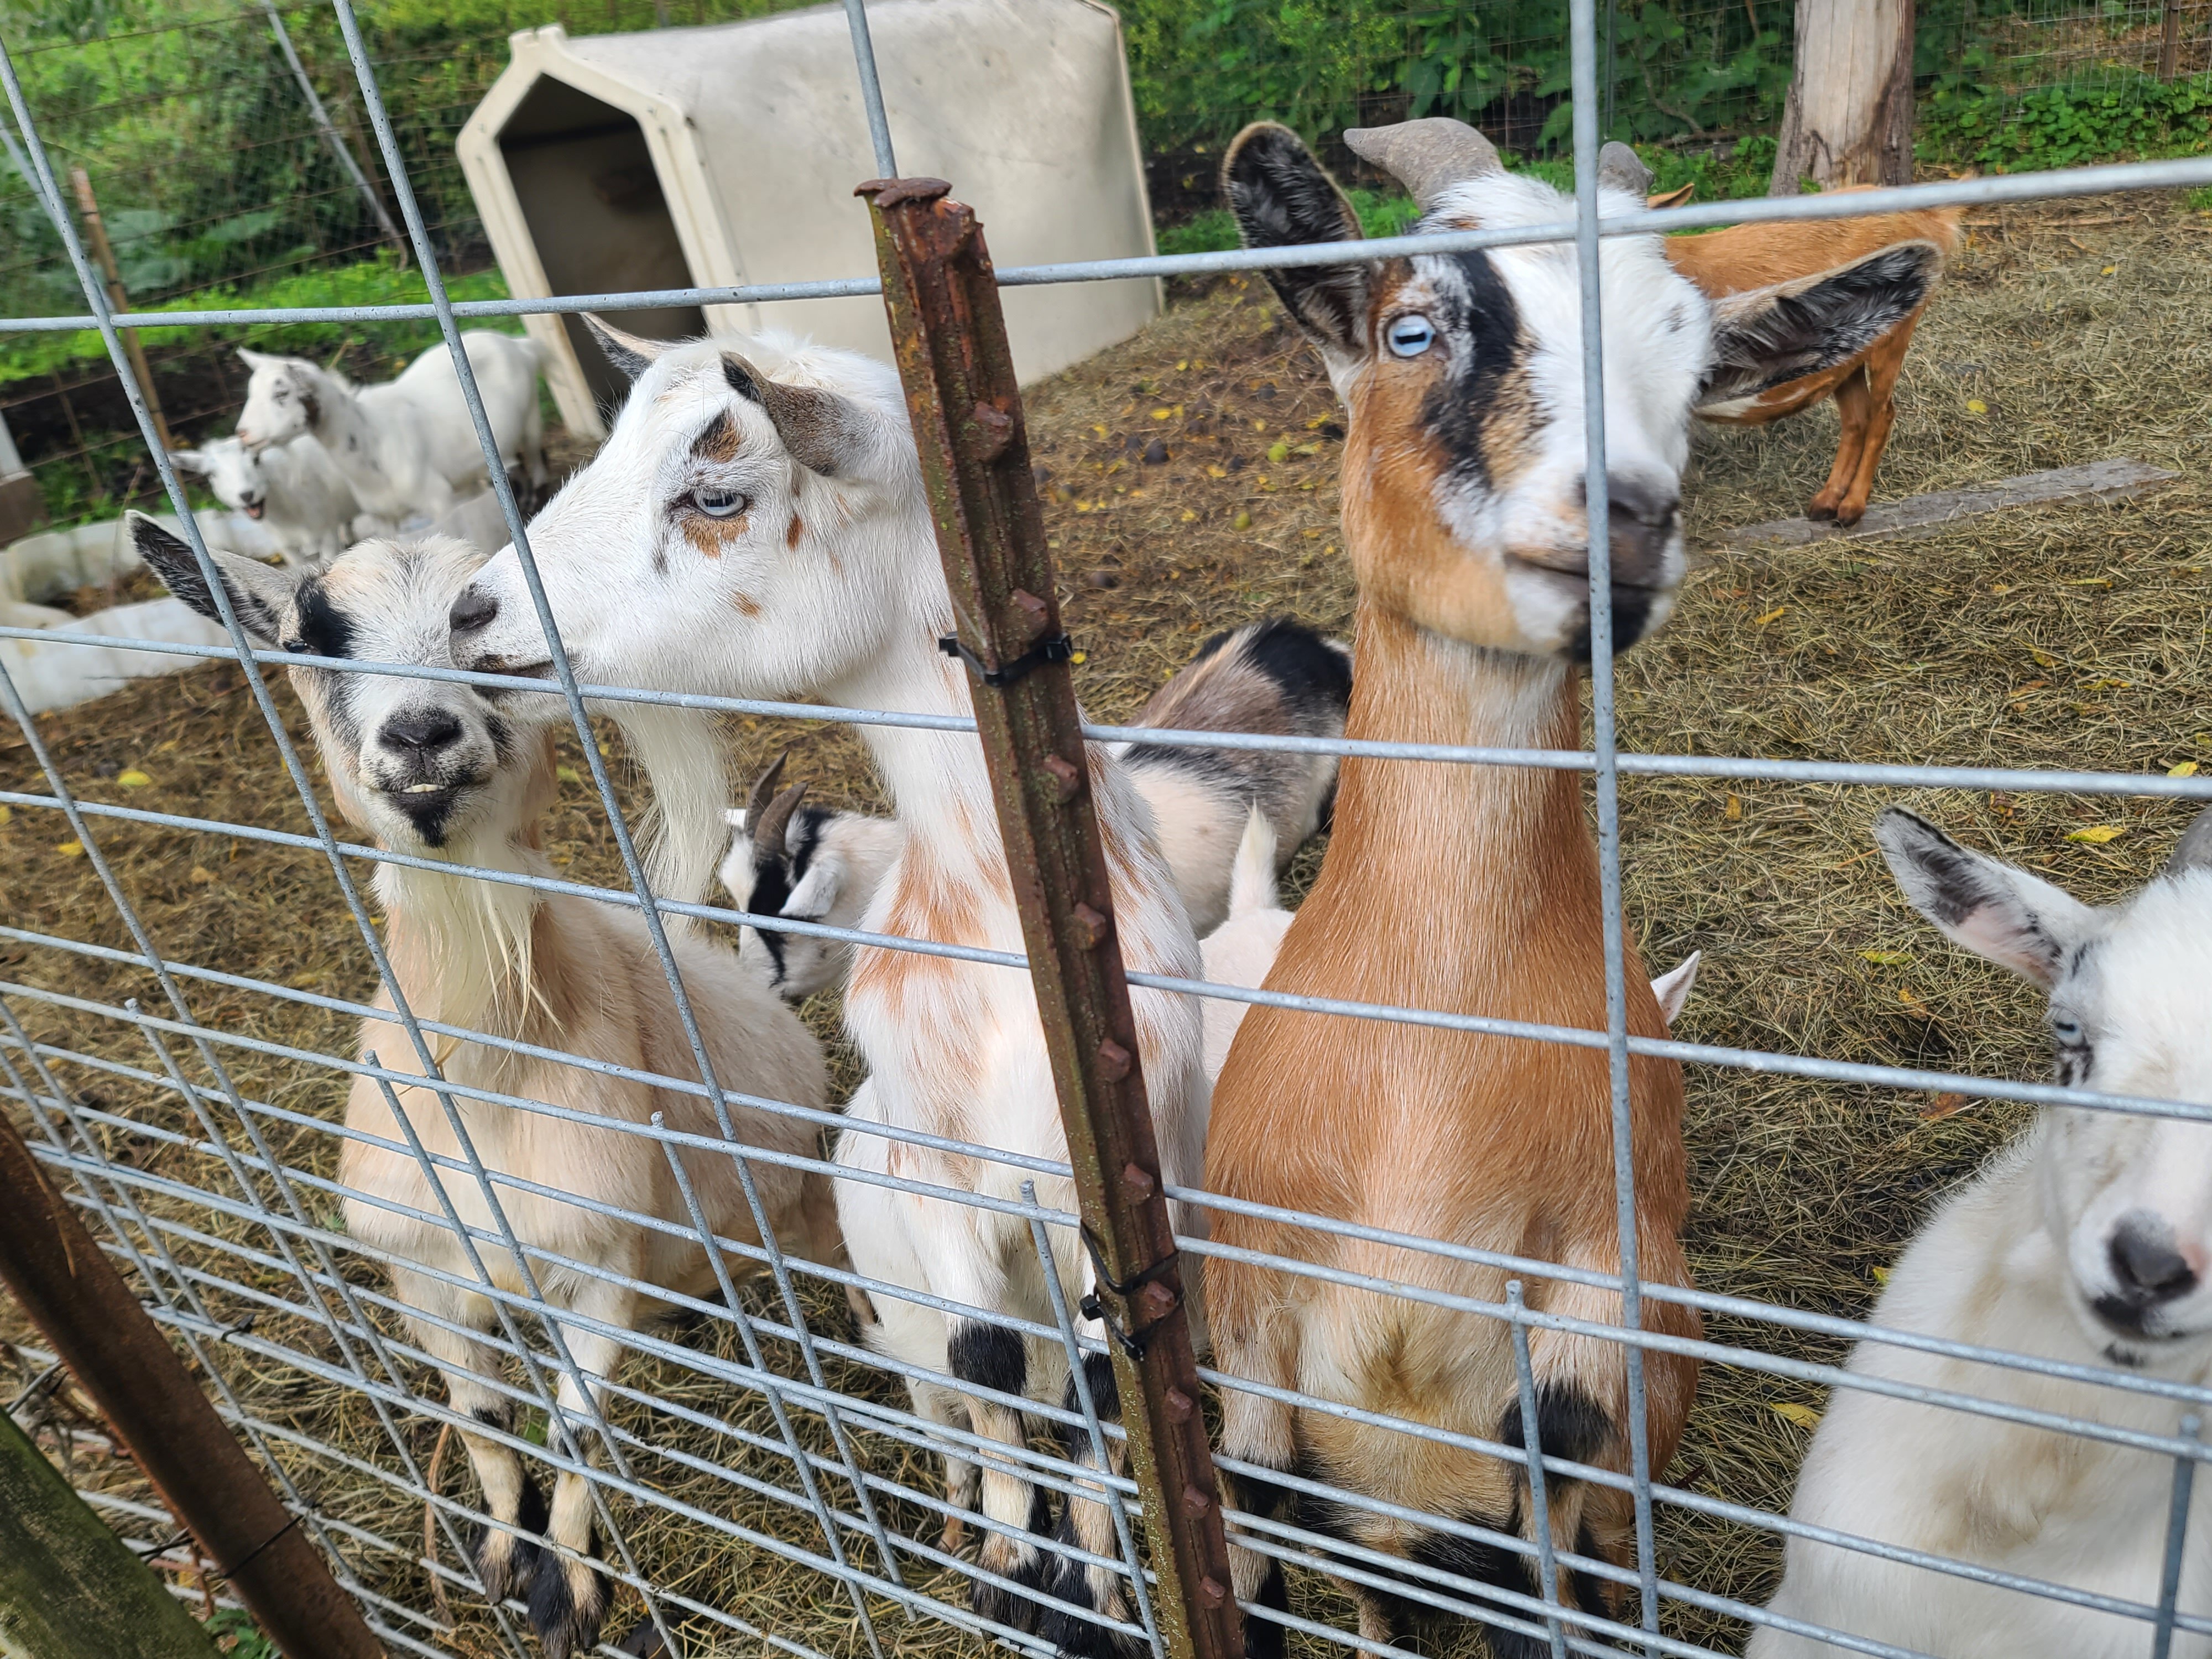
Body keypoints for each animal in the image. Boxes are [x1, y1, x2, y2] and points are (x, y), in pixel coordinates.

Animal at [129, 515, 836, 1659]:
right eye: (312, 634)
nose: (422, 734)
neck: (491, 1084)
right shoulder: (421, 1270)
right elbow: (485, 1420)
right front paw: (503, 1559)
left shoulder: (600, 1262)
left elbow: (577, 1429)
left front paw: (570, 1599)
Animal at [234, 333, 547, 525]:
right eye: (250, 392)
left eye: (281, 393)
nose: (242, 433)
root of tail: (520, 345)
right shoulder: (382, 517)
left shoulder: (439, 500)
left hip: (532, 416)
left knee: (536, 460)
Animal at [447, 317, 1206, 1651]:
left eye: (714, 495)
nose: (470, 612)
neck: (995, 921)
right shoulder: (936, 1169)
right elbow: (985, 1367)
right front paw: (1019, 1581)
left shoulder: (1110, 1191)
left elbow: (1096, 1403)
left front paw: (1094, 1597)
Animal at [1660, 187, 1965, 526]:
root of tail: (1934, 220)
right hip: (1847, 357)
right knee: (1857, 417)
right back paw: (1826, 503)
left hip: (1894, 335)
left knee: (1882, 414)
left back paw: (1851, 508)